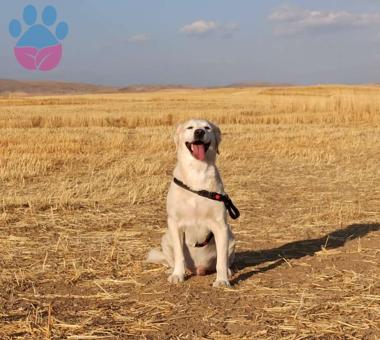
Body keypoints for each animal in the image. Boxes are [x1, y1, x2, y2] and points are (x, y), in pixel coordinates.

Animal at [147, 119, 239, 286]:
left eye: (207, 128)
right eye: (190, 127)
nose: (199, 132)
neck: (197, 171)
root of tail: (198, 269)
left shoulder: (220, 226)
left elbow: (221, 261)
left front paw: (222, 280)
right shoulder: (175, 224)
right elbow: (179, 255)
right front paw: (178, 275)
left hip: (231, 238)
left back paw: (228, 272)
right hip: (166, 239)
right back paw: (173, 270)